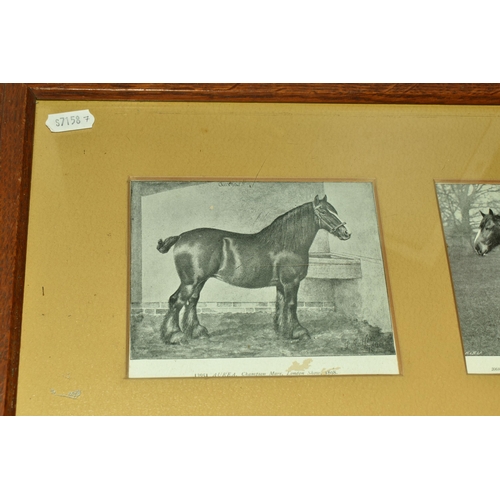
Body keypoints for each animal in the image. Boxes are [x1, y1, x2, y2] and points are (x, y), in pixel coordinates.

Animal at [157, 195, 352, 344]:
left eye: (335, 210)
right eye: (324, 211)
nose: (346, 233)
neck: (286, 244)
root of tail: (181, 236)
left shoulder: (281, 284)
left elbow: (280, 304)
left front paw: (282, 330)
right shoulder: (291, 283)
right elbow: (291, 305)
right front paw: (299, 331)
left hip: (199, 281)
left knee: (191, 301)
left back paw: (196, 331)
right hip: (190, 281)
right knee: (177, 301)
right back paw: (175, 335)